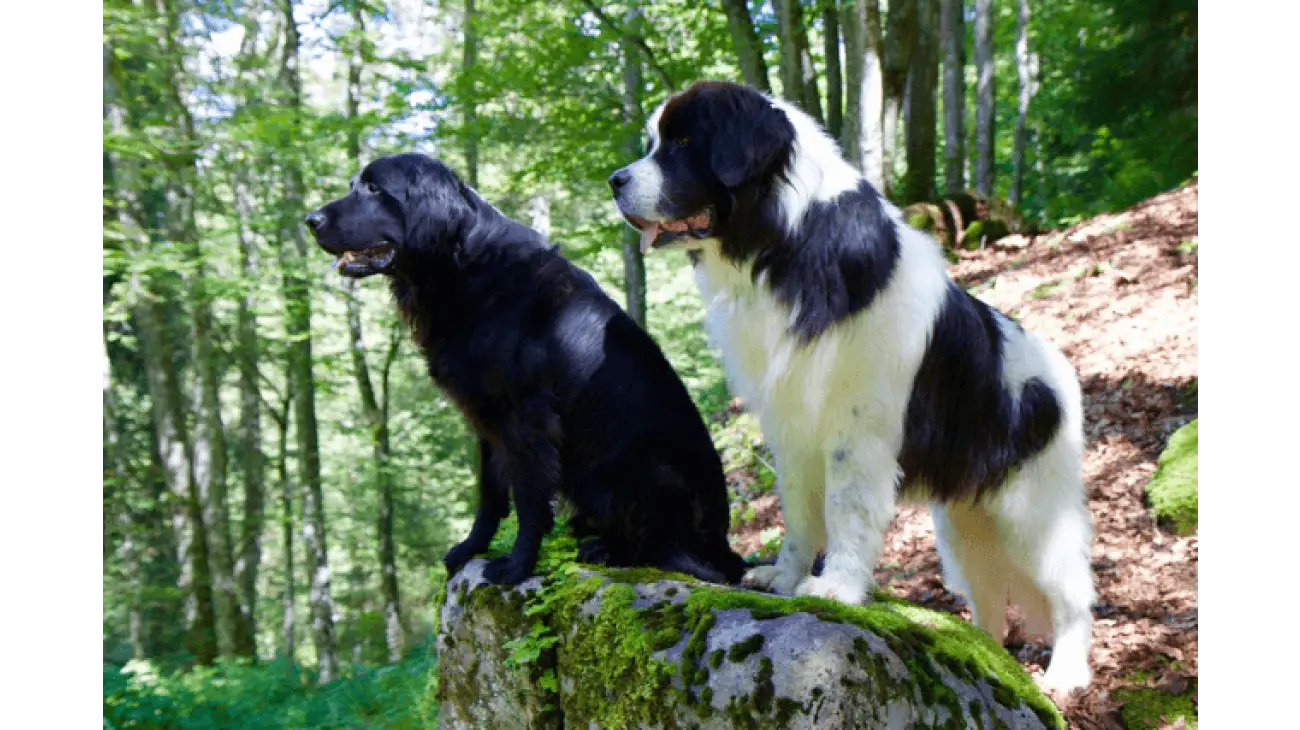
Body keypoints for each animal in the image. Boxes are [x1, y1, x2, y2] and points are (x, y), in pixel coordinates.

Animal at [305, 151, 748, 584]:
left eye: (374, 188)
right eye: (353, 185)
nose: (311, 221)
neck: (462, 267)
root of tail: (724, 547)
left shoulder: (527, 416)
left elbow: (530, 498)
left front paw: (517, 567)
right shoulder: (485, 417)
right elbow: (489, 493)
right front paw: (472, 548)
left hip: (637, 470)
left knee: (668, 552)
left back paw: (607, 549)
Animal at [608, 82, 1097, 691]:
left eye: (680, 142)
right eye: (654, 142)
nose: (615, 180)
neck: (786, 242)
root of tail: (1061, 376)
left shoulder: (857, 428)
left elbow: (847, 509)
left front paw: (836, 586)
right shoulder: (791, 423)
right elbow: (798, 511)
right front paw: (783, 576)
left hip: (1034, 510)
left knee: (1071, 590)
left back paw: (1067, 672)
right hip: (965, 521)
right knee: (987, 590)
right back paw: (985, 652)